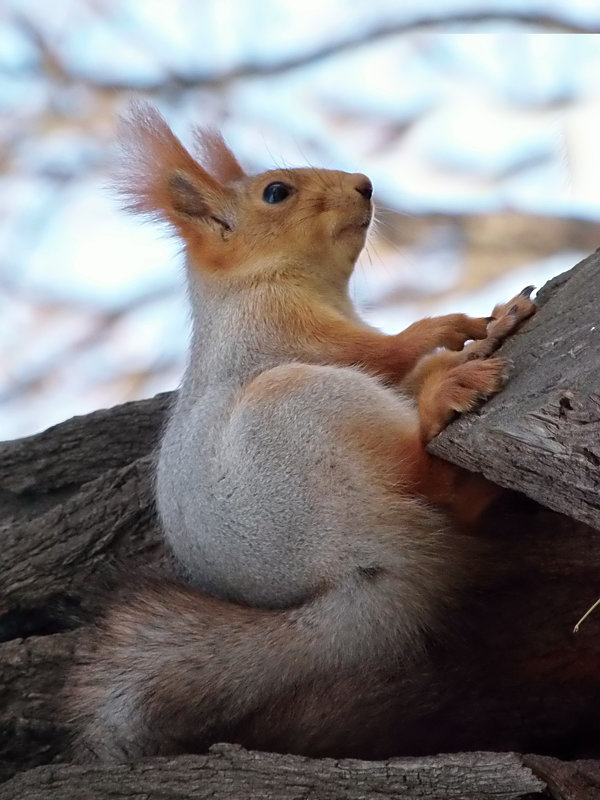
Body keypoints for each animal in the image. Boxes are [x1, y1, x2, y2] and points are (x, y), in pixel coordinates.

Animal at [68, 103, 536, 764]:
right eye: (275, 192)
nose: (365, 184)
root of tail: (365, 561)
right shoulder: (279, 328)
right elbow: (382, 352)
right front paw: (457, 325)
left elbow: (395, 363)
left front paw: (476, 329)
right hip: (305, 408)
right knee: (422, 472)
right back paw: (445, 395)